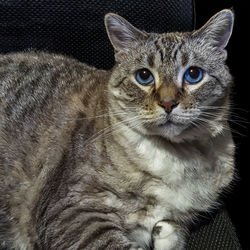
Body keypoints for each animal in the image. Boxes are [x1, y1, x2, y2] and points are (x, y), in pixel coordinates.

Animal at [0, 8, 234, 249]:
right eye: (144, 76)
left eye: (193, 74)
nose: (168, 103)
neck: (177, 156)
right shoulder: (72, 212)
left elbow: (171, 231)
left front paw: (163, 231)